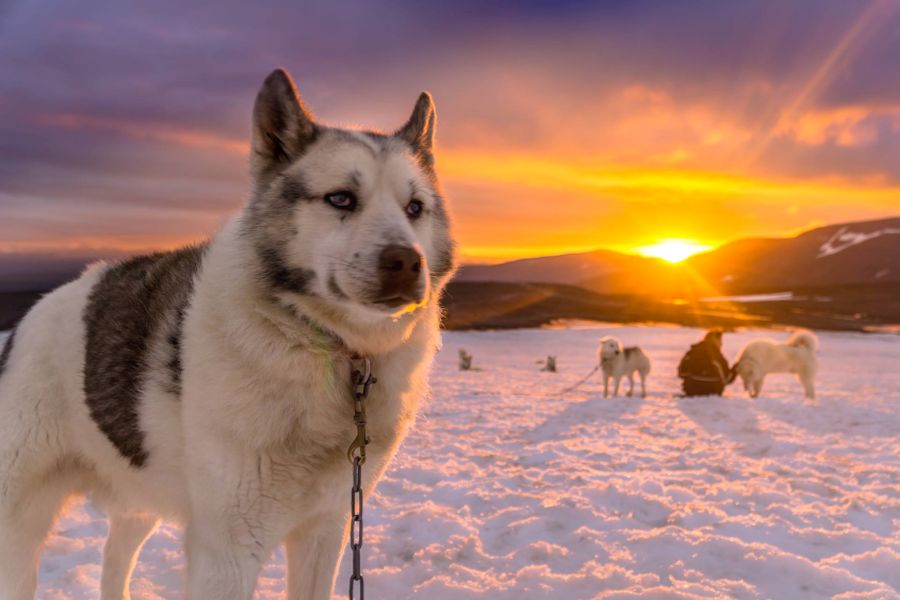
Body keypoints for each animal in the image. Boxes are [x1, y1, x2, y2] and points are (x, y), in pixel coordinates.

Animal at [0, 70, 458, 600]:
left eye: (415, 208)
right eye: (341, 198)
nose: (406, 262)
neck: (325, 346)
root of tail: (26, 321)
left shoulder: (325, 528)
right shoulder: (229, 549)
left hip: (138, 496)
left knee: (114, 560)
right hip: (20, 520)